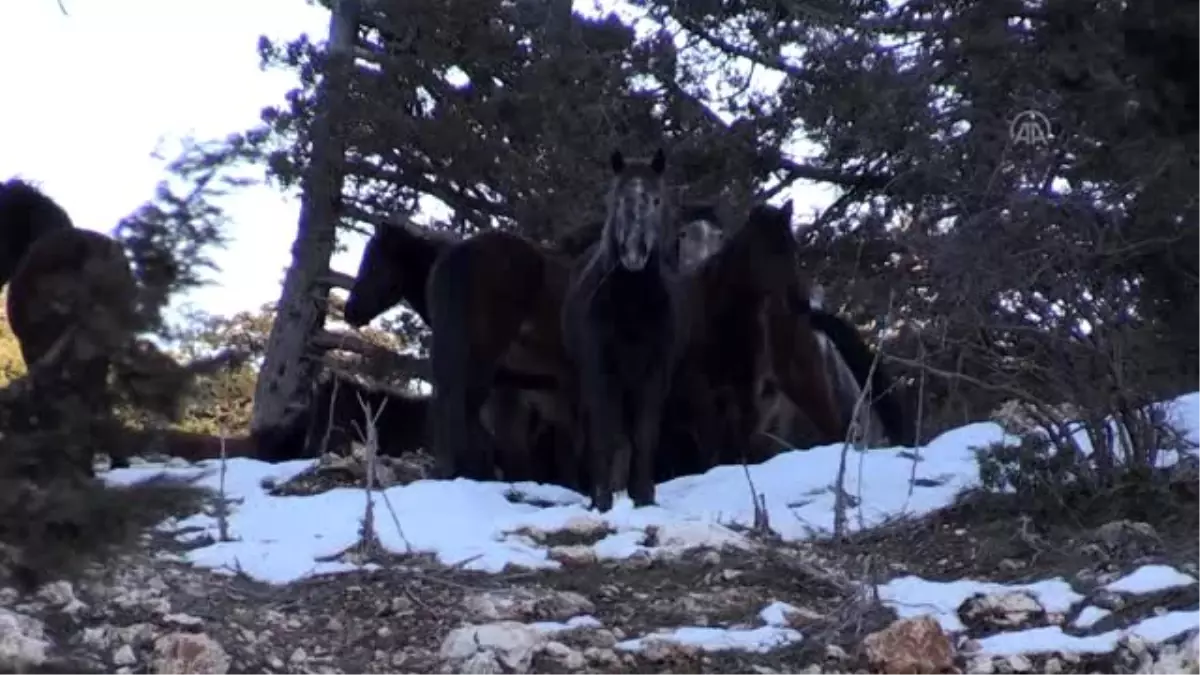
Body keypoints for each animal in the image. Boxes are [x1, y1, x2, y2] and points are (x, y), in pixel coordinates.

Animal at [561, 148, 686, 509]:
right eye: (618, 200)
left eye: (656, 200)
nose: (633, 252)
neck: (631, 306)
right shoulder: (599, 370)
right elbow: (604, 433)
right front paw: (601, 499)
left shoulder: (655, 373)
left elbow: (645, 433)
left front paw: (643, 496)